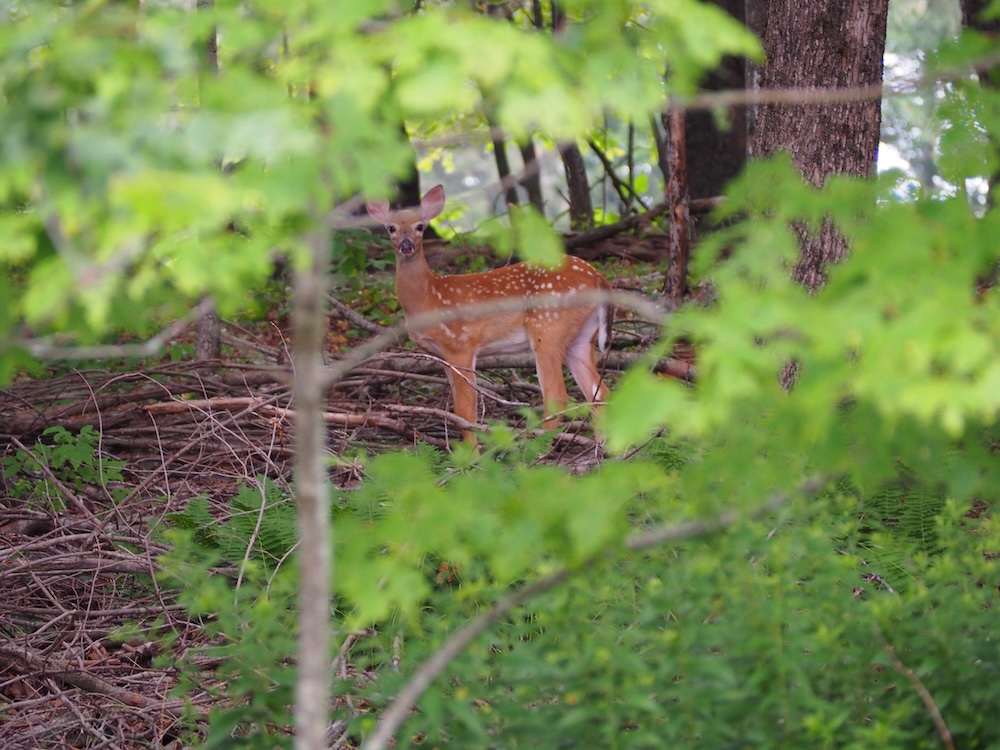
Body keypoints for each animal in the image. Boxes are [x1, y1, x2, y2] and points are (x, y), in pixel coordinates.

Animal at [366, 184, 612, 444]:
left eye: (420, 226)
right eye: (391, 227)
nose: (406, 246)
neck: (429, 298)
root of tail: (598, 277)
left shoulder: (461, 344)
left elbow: (466, 410)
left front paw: (472, 453)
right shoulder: (441, 355)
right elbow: (458, 411)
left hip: (548, 328)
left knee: (557, 397)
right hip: (581, 336)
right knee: (598, 392)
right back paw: (602, 447)